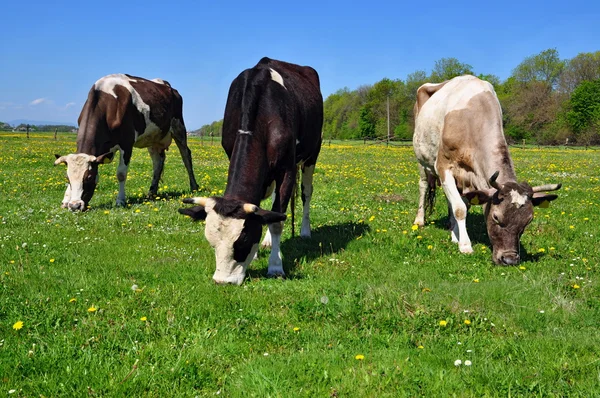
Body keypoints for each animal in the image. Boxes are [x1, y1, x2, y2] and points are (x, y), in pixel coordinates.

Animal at [54, 74, 199, 211]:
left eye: (89, 177)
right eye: (67, 178)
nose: (75, 206)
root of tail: (167, 86)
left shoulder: (127, 143)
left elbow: (121, 174)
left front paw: (120, 201)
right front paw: (65, 200)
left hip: (178, 127)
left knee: (186, 156)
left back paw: (194, 187)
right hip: (153, 137)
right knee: (158, 162)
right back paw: (151, 192)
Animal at [178, 57, 324, 284]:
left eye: (243, 241)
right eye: (211, 242)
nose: (223, 281)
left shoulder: (287, 170)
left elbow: (277, 222)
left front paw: (275, 266)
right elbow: (267, 213)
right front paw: (259, 252)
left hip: (313, 153)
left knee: (305, 193)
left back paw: (305, 231)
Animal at [412, 76, 564, 266]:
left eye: (528, 221)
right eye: (496, 217)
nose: (509, 259)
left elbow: (461, 205)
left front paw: (457, 236)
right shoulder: (443, 166)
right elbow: (460, 208)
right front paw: (465, 245)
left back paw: (452, 231)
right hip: (422, 160)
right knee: (423, 186)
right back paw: (419, 220)